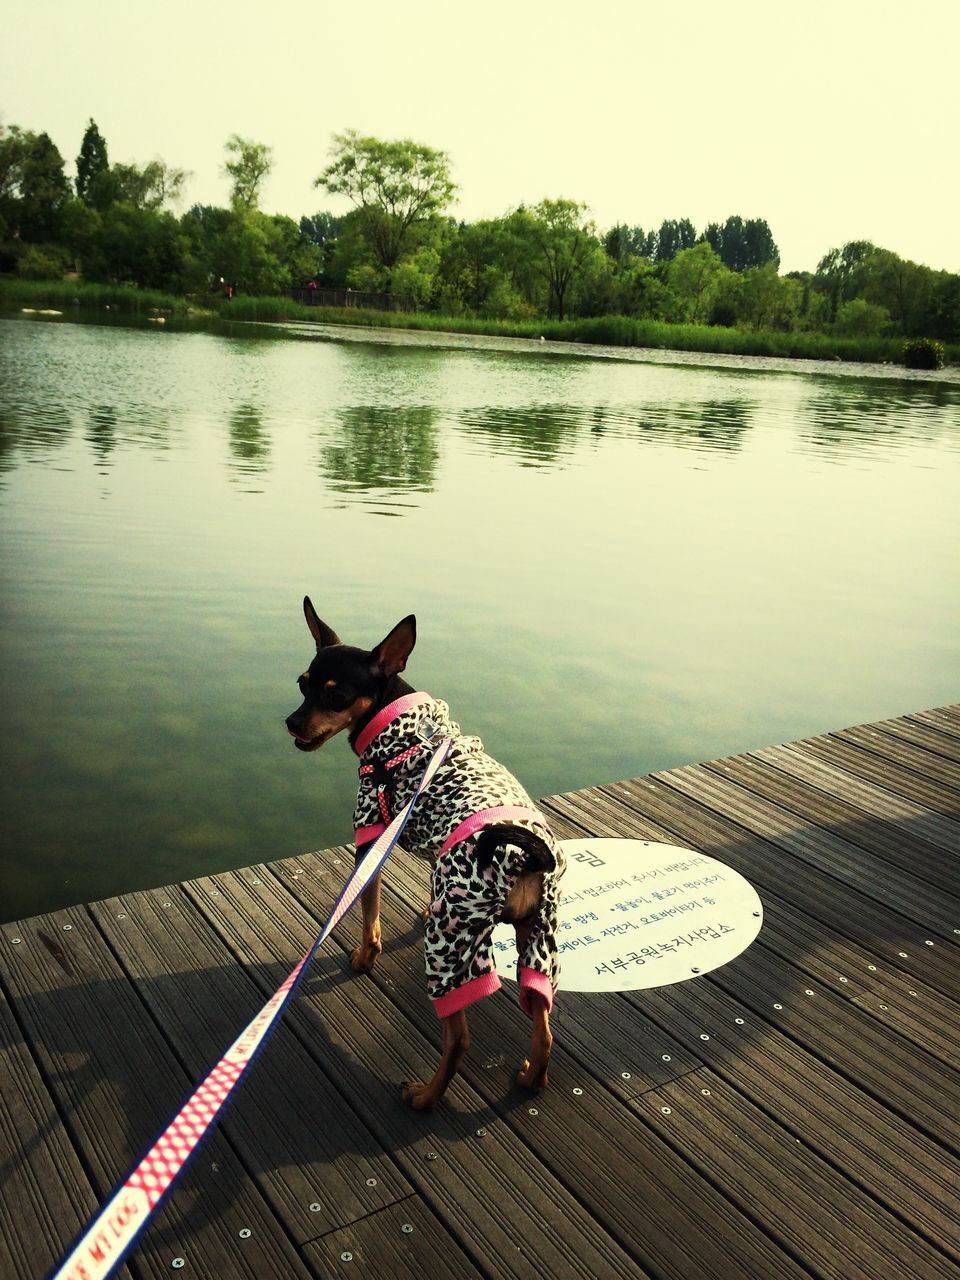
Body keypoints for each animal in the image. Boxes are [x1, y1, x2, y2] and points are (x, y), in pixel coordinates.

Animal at [289, 599, 568, 1111]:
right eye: (303, 684)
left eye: (337, 697)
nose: (292, 723)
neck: (403, 729)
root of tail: (522, 855)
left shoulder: (370, 837)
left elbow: (369, 913)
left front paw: (365, 957)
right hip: (538, 936)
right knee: (543, 1026)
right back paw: (530, 1079)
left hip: (451, 945)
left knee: (458, 1038)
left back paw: (424, 1097)